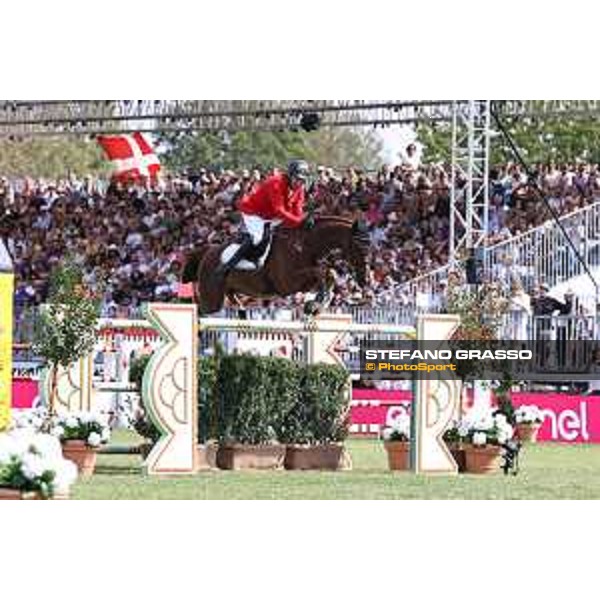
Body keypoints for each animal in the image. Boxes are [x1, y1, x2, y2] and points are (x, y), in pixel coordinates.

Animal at [182, 218, 370, 316]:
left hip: (226, 292)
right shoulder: (288, 282)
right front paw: (315, 304)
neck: (306, 245)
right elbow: (322, 272)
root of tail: (207, 252)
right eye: (359, 246)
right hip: (211, 298)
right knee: (202, 312)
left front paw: (317, 305)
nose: (365, 280)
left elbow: (328, 273)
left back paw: (241, 311)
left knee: (233, 302)